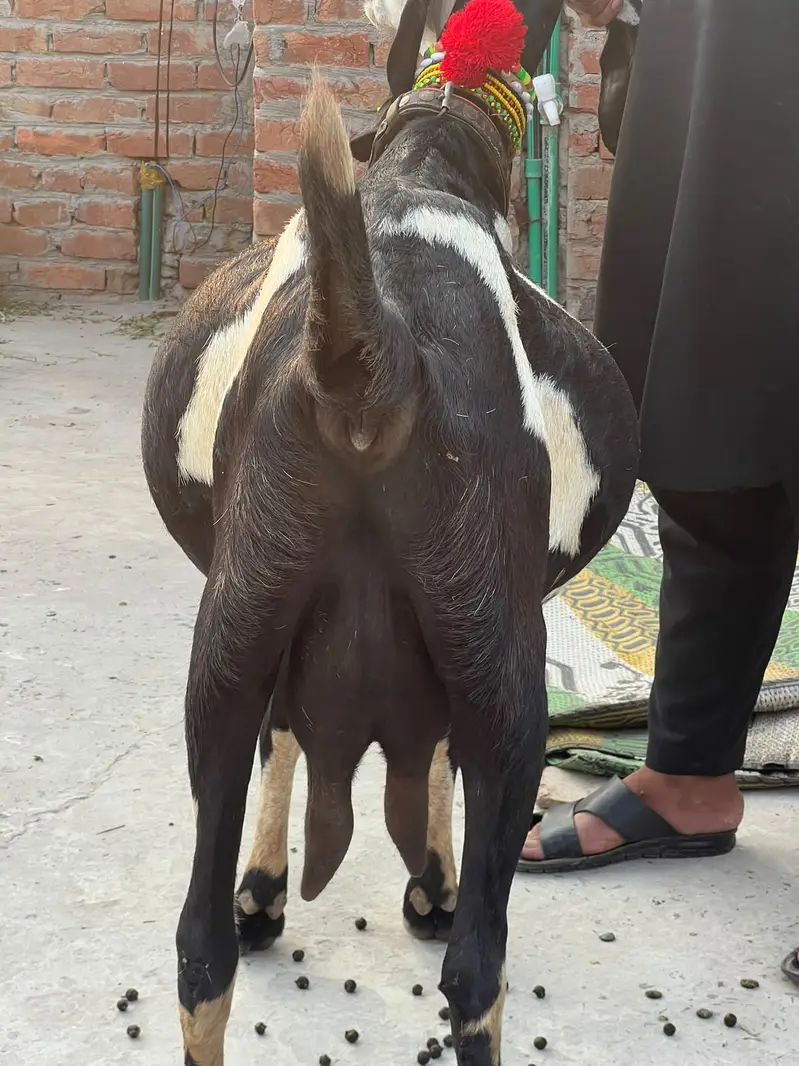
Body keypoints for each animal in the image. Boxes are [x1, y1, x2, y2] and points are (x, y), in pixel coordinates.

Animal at [141, 2, 637, 1062]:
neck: (428, 162)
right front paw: (427, 884)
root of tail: (373, 361)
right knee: (479, 971)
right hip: (505, 673)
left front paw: (261, 890)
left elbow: (283, 734)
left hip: (232, 635)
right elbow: (430, 751)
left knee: (200, 954)